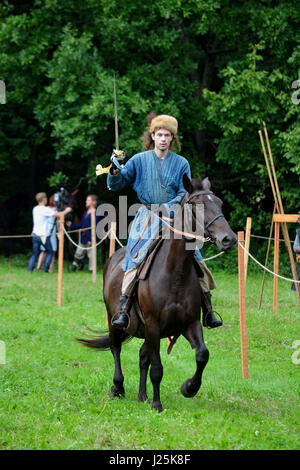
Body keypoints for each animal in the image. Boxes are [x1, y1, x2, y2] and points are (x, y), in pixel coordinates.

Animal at [77, 175, 237, 412]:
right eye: (197, 206)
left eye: (219, 203)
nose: (229, 239)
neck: (175, 274)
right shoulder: (153, 325)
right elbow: (157, 367)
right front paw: (157, 403)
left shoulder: (190, 323)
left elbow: (202, 355)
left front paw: (189, 387)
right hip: (114, 320)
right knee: (116, 349)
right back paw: (119, 387)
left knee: (143, 356)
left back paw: (142, 395)